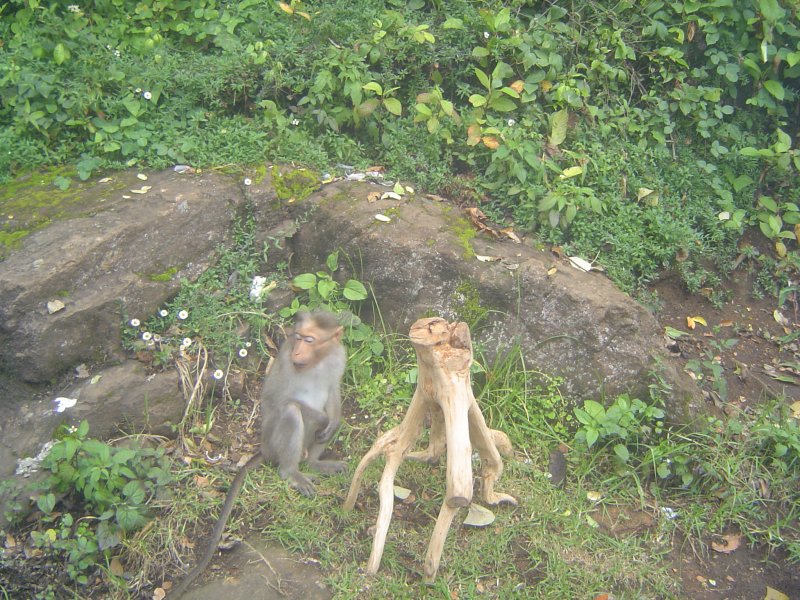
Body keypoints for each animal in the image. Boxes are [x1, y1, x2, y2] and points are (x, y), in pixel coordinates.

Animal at [172, 312, 346, 596]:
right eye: (298, 338)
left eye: (310, 339)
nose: (298, 350)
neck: (317, 360)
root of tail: (264, 448)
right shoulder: (285, 360)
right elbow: (279, 401)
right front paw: (321, 419)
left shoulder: (338, 357)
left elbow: (333, 390)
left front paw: (332, 422)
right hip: (275, 443)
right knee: (291, 412)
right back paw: (291, 472)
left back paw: (314, 463)